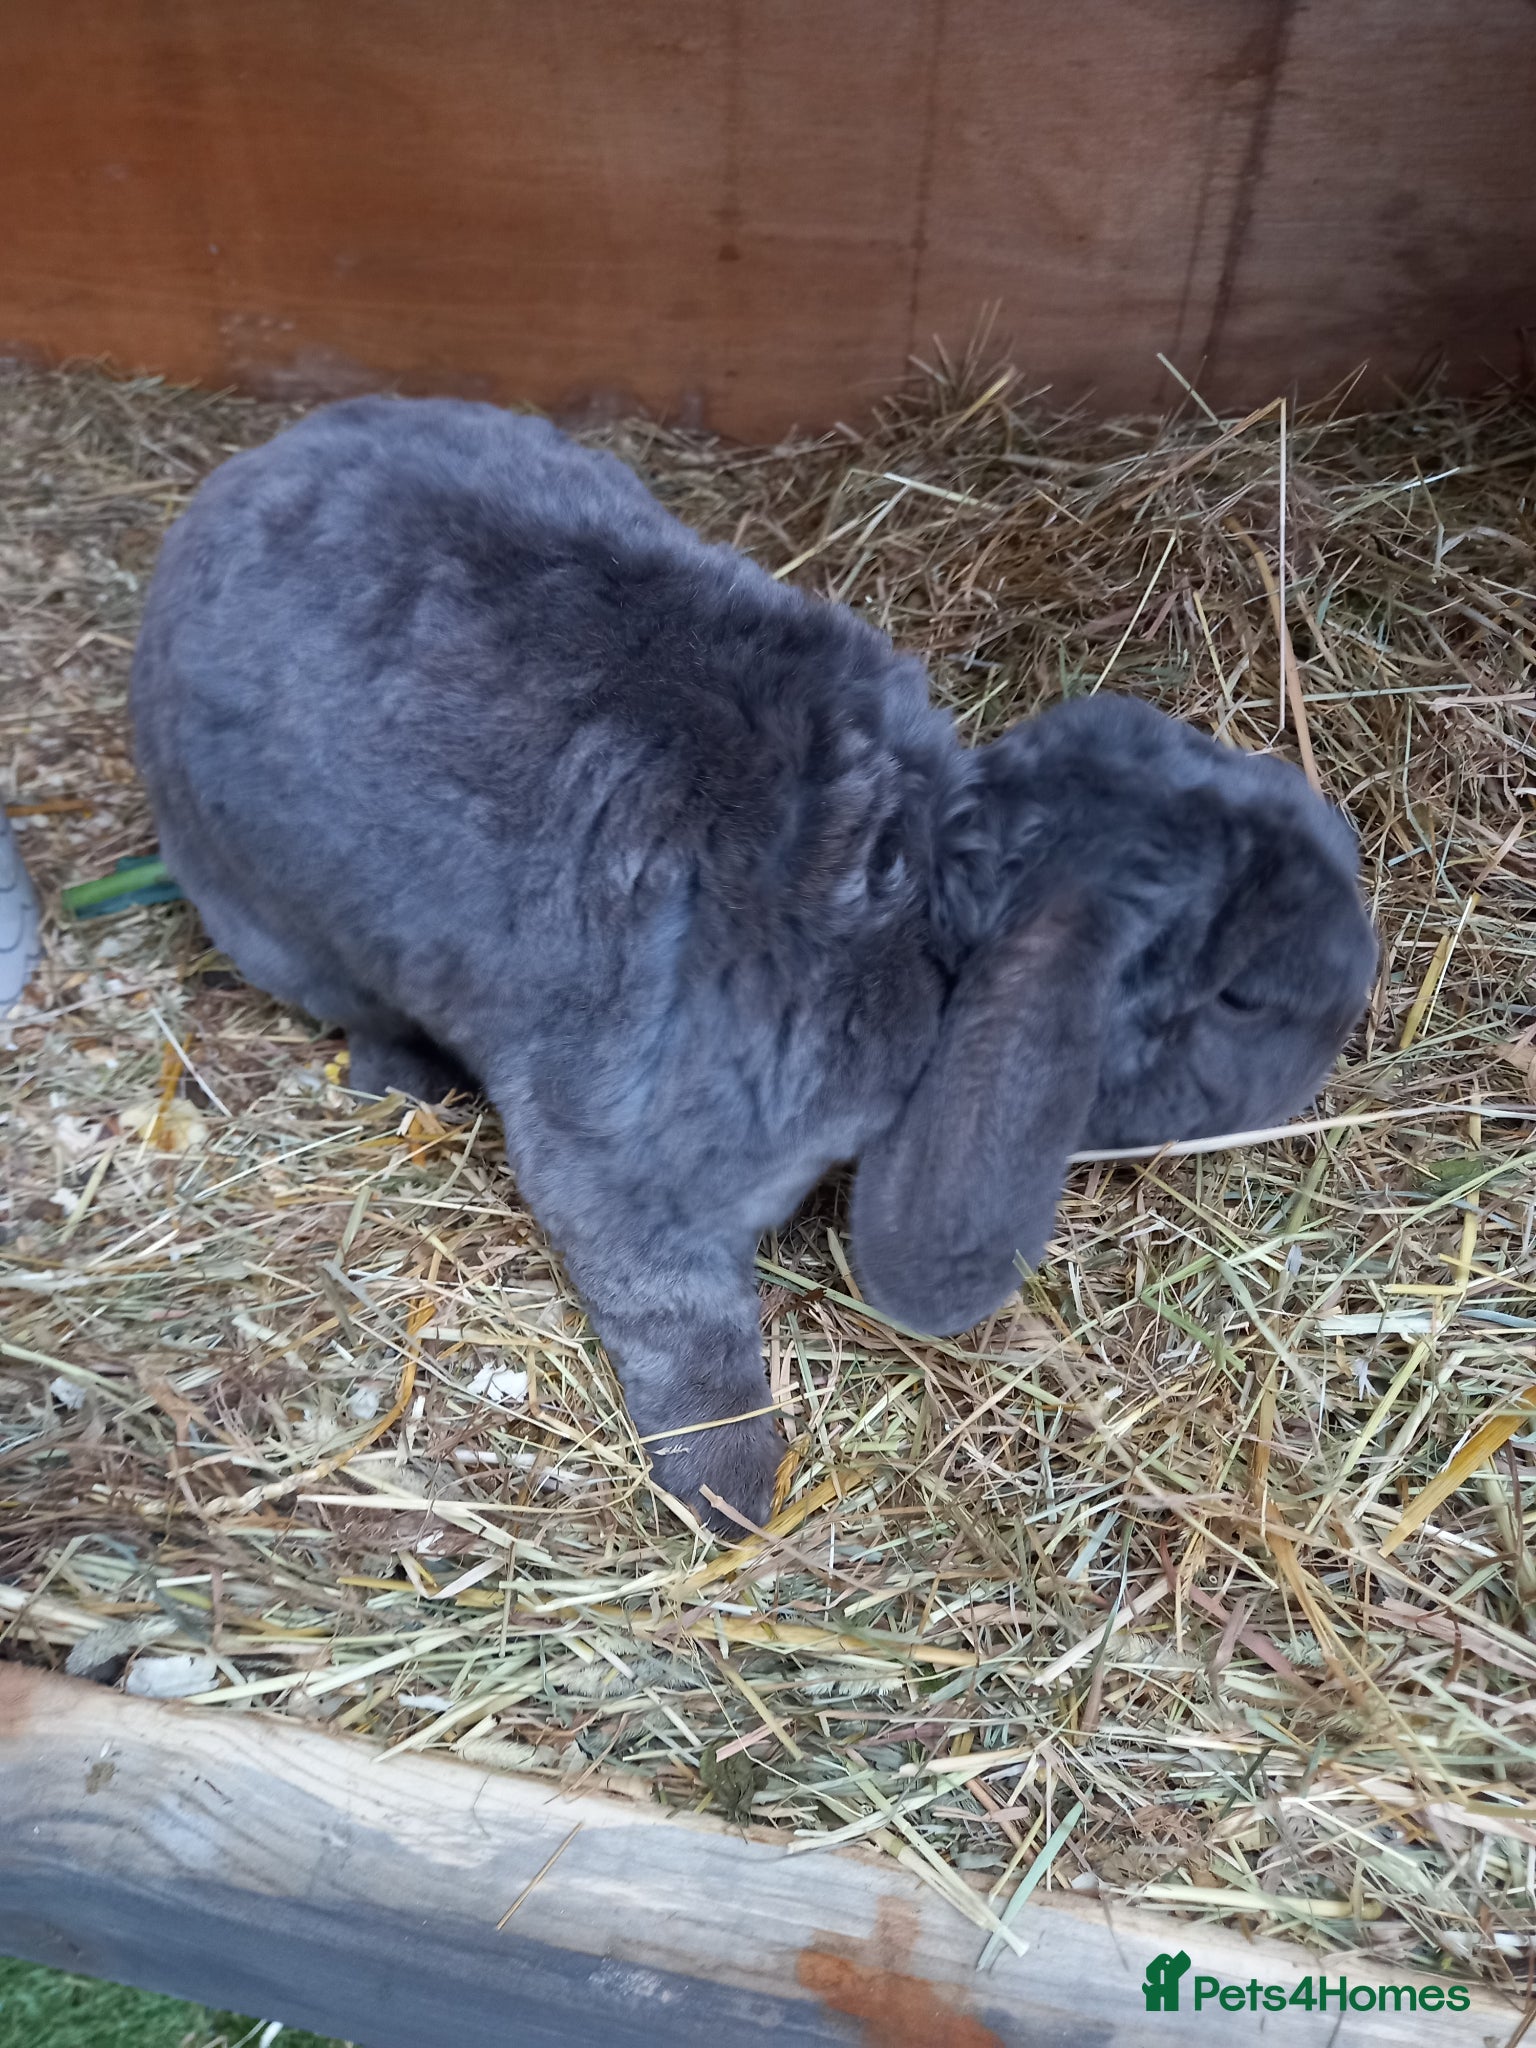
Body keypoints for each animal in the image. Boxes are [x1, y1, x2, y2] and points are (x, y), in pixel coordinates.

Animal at [130, 396, 1378, 1532]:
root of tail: (219, 499)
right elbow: (686, 1332)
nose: (1350, 1014)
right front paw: (733, 1494)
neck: (923, 900)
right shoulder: (633, 1176)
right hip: (275, 920)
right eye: (1242, 995)